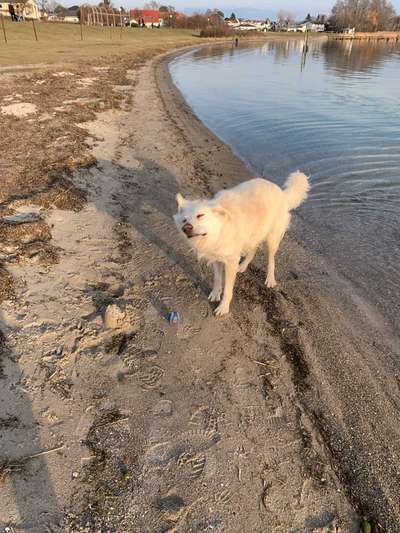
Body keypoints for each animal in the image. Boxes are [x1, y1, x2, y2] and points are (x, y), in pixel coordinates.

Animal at [173, 170, 310, 314]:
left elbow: (228, 289)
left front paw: (223, 307)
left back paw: (270, 279)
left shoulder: (230, 262)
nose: (186, 228)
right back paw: (243, 266)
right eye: (184, 220)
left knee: (271, 260)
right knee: (253, 250)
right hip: (253, 234)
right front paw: (215, 293)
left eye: (200, 215)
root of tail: (281, 193)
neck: (220, 228)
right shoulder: (216, 256)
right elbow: (217, 279)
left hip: (271, 239)